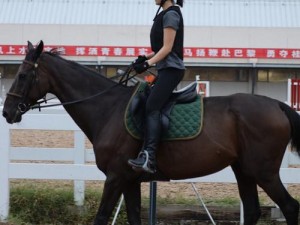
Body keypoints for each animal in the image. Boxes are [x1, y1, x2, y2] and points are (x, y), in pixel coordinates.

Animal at [2, 40, 300, 225]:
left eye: (23, 75)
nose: (7, 112)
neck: (107, 108)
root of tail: (276, 104)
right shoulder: (129, 181)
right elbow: (134, 217)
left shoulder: (115, 177)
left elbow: (101, 217)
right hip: (244, 170)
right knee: (252, 210)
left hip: (264, 172)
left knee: (289, 207)